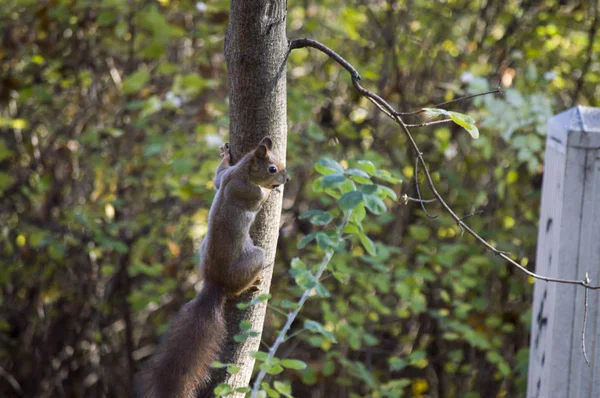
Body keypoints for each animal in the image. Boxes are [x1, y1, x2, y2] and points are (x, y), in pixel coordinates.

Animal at [137, 138, 292, 398]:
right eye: (272, 169)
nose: (287, 179)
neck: (242, 173)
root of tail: (214, 284)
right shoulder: (247, 193)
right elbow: (258, 199)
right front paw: (272, 191)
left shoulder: (225, 177)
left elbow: (217, 178)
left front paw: (226, 155)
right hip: (255, 258)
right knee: (237, 288)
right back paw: (252, 284)